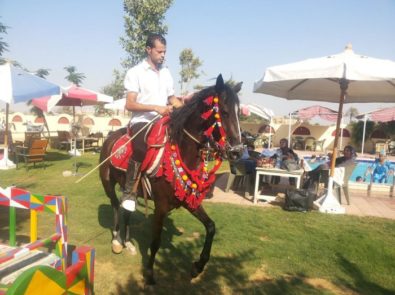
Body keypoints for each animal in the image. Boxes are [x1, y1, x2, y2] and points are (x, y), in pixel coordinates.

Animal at [100, 74, 241, 286]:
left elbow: (211, 227)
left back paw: (127, 243)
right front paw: (150, 273)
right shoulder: (160, 206)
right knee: (116, 206)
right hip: (108, 183)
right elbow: (156, 241)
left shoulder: (188, 201)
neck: (181, 150)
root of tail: (110, 137)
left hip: (129, 191)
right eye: (224, 112)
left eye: (240, 113)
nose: (238, 152)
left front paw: (197, 267)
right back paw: (117, 241)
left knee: (126, 210)